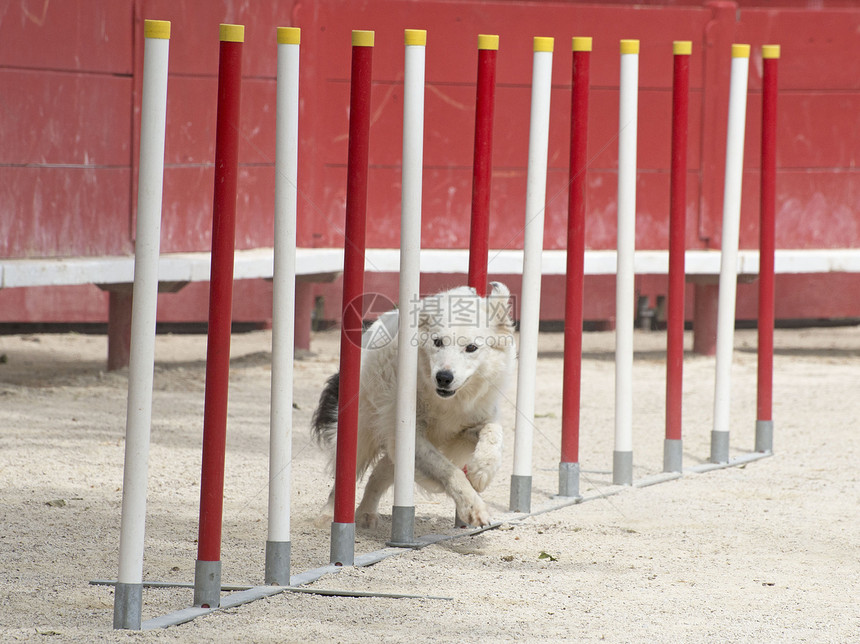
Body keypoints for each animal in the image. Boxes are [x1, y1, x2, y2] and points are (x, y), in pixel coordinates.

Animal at [316, 282, 516, 528]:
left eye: (471, 348)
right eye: (437, 342)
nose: (443, 377)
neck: (446, 402)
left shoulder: (469, 425)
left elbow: (494, 432)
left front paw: (482, 470)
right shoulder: (413, 438)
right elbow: (448, 470)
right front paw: (473, 507)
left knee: (379, 473)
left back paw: (366, 513)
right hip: (363, 431)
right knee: (345, 474)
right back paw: (328, 516)